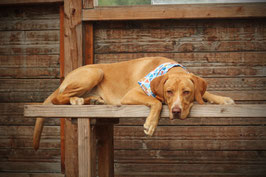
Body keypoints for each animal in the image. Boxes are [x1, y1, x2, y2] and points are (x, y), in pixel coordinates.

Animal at [32, 56, 233, 149]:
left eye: (187, 92)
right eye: (169, 92)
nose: (176, 111)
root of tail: (67, 77)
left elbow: (207, 93)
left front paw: (223, 99)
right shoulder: (133, 93)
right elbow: (156, 102)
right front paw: (150, 124)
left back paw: (93, 99)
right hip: (95, 72)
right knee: (59, 98)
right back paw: (77, 99)